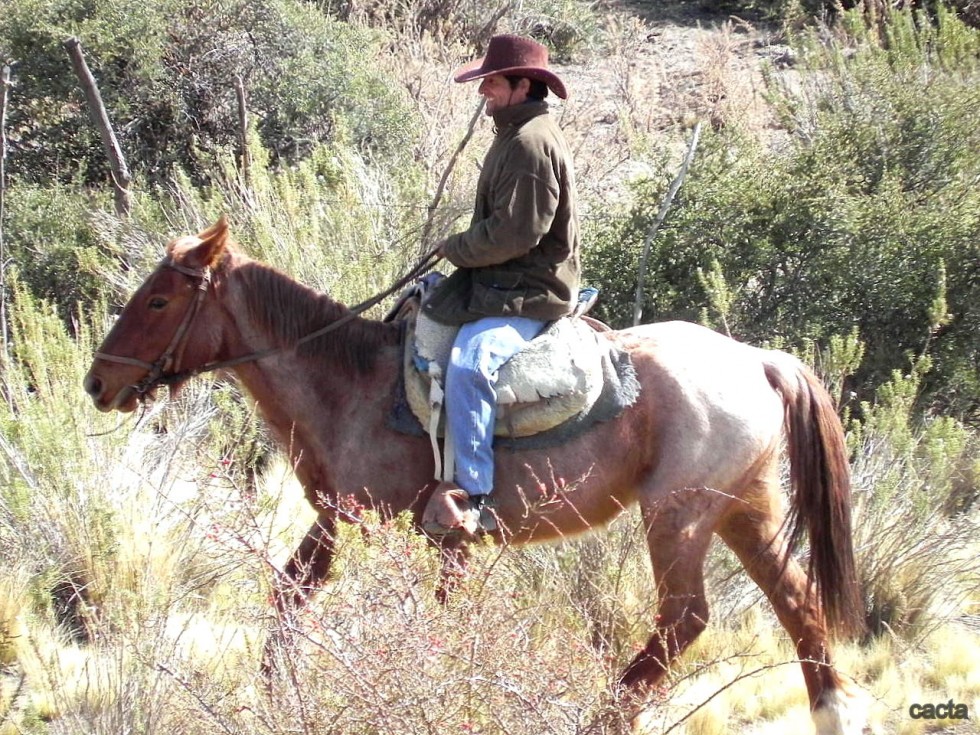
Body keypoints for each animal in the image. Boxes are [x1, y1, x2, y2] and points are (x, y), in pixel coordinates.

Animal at [84, 216, 864, 732]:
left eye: (159, 300)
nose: (97, 383)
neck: (349, 381)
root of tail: (757, 358)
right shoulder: (352, 522)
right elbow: (289, 597)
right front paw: (277, 697)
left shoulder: (402, 528)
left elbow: (421, 618)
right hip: (746, 512)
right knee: (798, 604)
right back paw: (832, 712)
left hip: (680, 517)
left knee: (686, 618)